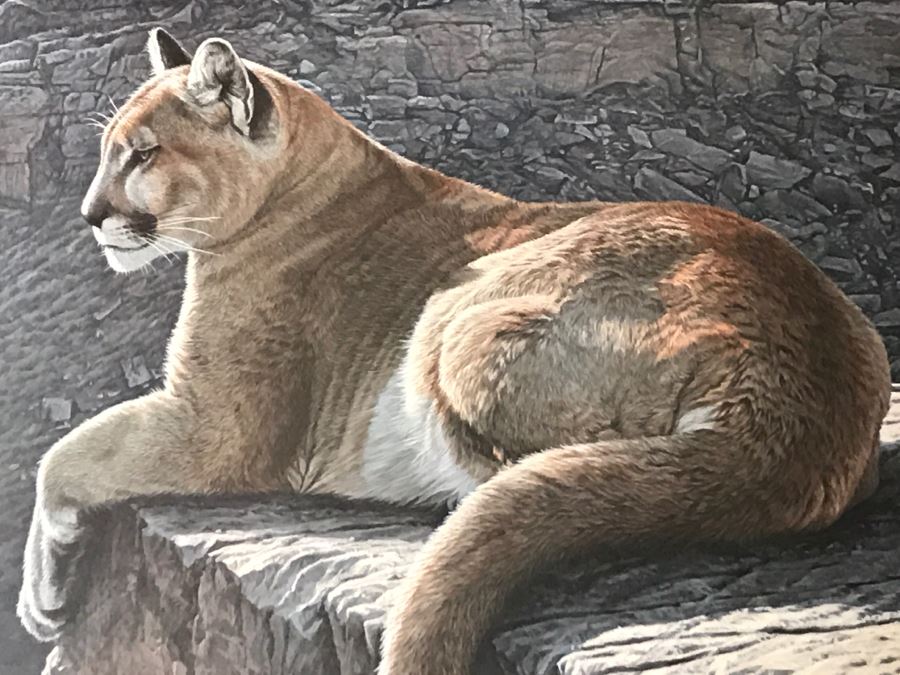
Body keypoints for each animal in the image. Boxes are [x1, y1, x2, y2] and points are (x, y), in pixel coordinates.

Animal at [18, 29, 890, 675]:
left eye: (142, 154)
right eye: (109, 150)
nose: (90, 215)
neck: (302, 183)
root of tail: (800, 398)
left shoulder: (218, 423)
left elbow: (65, 453)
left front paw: (43, 594)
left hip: (453, 320)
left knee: (529, 473)